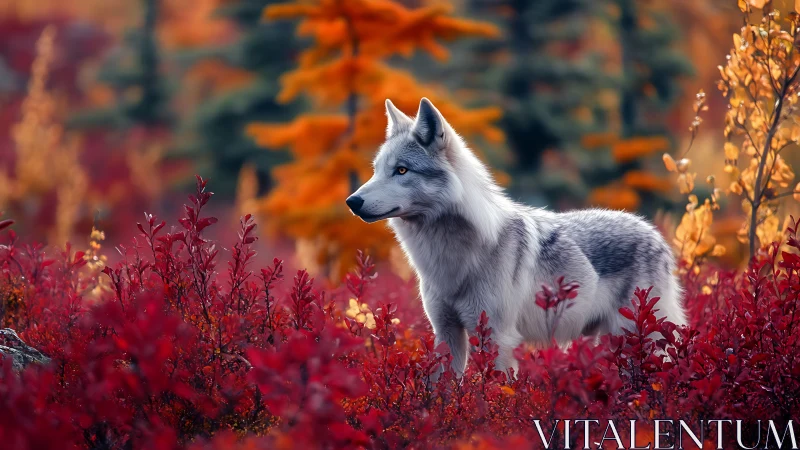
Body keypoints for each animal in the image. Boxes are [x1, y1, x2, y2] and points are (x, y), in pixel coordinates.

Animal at [345, 97, 686, 375]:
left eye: (402, 171)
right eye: (376, 170)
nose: (352, 201)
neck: (451, 256)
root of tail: (655, 234)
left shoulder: (498, 337)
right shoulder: (446, 334)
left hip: (638, 339)